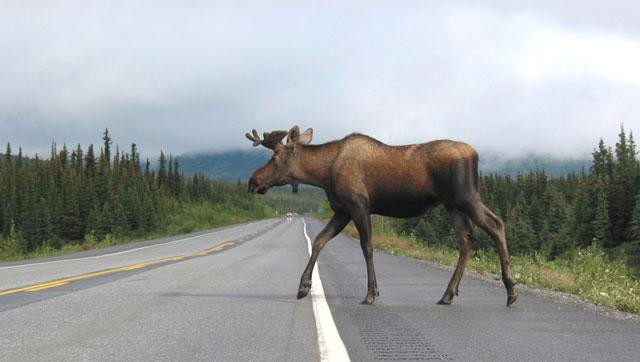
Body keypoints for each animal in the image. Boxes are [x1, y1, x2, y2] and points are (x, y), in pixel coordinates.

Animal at [246, 126, 520, 306]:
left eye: (275, 157)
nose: (252, 181)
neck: (323, 175)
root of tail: (475, 154)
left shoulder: (358, 204)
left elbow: (367, 246)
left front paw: (371, 293)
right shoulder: (342, 210)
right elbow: (319, 241)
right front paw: (303, 287)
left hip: (465, 196)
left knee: (496, 224)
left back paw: (510, 290)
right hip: (452, 204)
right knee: (466, 239)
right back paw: (448, 294)